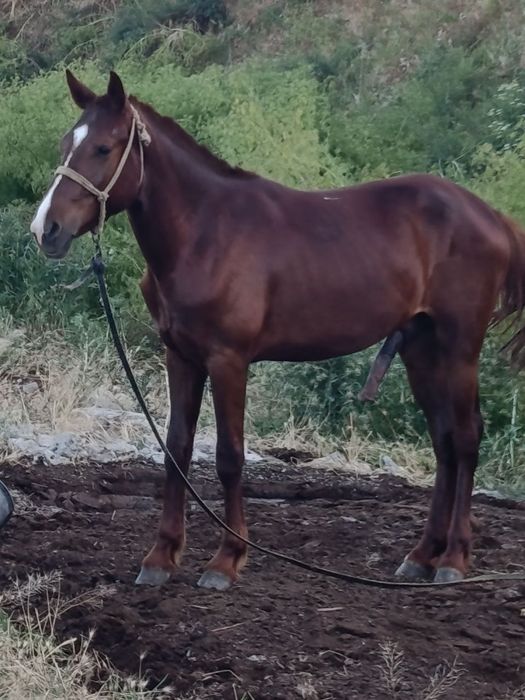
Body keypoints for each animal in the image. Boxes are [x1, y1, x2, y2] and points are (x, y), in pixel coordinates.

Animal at [30, 70, 525, 591]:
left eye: (103, 148)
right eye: (66, 143)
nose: (46, 230)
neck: (205, 233)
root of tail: (490, 216)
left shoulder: (229, 360)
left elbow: (229, 456)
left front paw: (227, 559)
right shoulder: (180, 357)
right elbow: (177, 450)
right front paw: (161, 556)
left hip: (460, 347)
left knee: (466, 438)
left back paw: (454, 558)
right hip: (421, 350)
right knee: (444, 441)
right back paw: (422, 555)